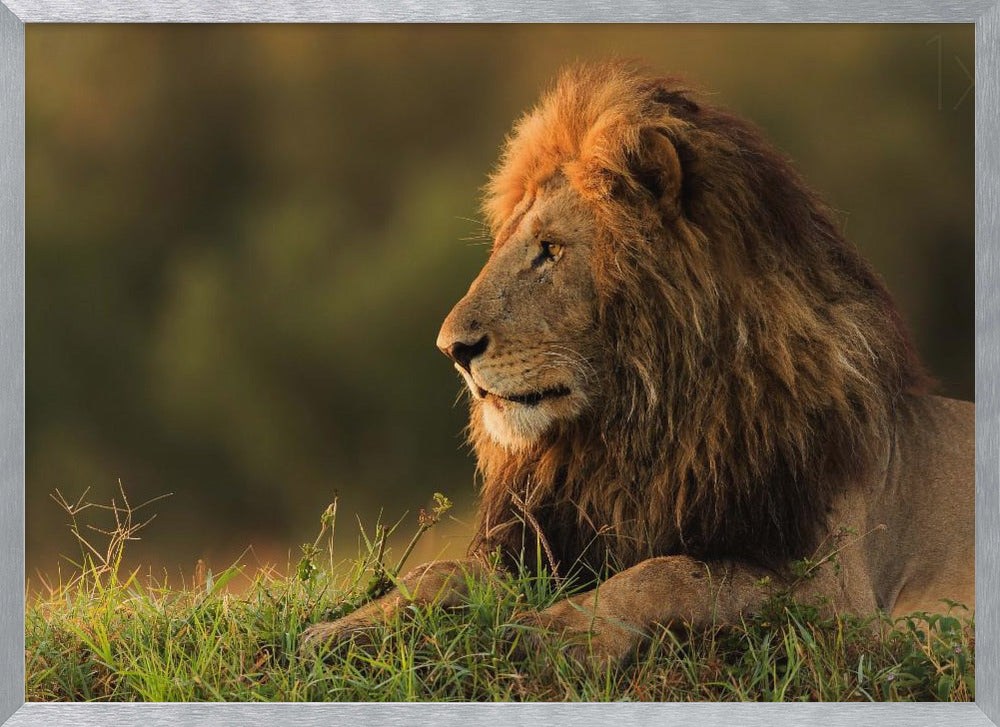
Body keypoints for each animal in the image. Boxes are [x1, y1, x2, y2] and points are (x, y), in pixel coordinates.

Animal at [301, 61, 974, 665]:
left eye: (551, 250)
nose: (452, 349)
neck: (637, 431)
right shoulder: (557, 543)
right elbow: (438, 572)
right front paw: (341, 630)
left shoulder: (837, 595)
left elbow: (672, 573)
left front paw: (558, 633)